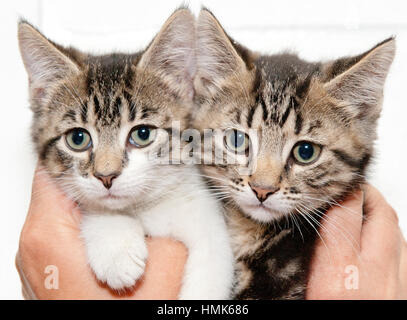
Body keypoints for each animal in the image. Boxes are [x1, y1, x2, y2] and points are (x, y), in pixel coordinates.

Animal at [18, 10, 236, 300]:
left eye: (142, 134)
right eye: (78, 139)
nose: (106, 176)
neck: (144, 209)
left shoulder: (204, 216)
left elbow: (214, 262)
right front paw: (117, 250)